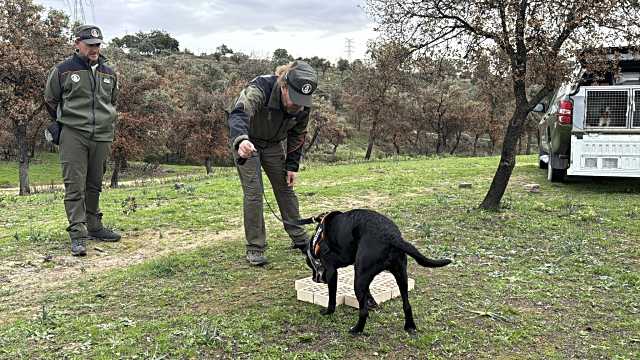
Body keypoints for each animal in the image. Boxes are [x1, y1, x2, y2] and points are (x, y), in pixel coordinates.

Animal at [304, 210, 450, 334]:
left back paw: (357, 330)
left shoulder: (332, 272)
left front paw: (329, 311)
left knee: (363, 312)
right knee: (407, 305)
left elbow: (332, 298)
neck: (317, 240)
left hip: (359, 280)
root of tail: (391, 236)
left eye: (311, 266)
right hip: (400, 275)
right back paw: (410, 326)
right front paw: (372, 302)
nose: (313, 279)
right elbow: (368, 292)